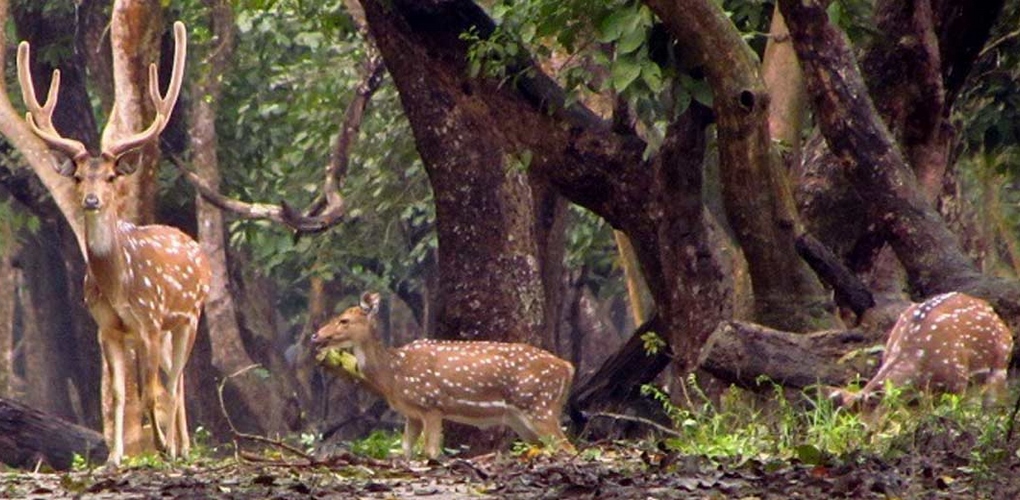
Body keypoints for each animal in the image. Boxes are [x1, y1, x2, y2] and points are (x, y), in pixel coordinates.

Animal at [15, 20, 208, 465]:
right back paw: (182, 444)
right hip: (169, 329)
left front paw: (161, 447)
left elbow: (152, 393)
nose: (91, 199)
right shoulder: (107, 328)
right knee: (177, 379)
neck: (120, 284)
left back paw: (179, 447)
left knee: (175, 381)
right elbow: (120, 393)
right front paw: (115, 457)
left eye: (110, 177)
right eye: (78, 176)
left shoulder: (149, 321)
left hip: (190, 316)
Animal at [312, 291, 575, 459]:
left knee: (568, 447)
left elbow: (431, 452)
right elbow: (405, 451)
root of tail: (567, 367)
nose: (316, 336)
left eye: (344, 320)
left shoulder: (431, 404)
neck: (394, 374)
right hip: (521, 418)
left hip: (539, 404)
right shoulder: (412, 413)